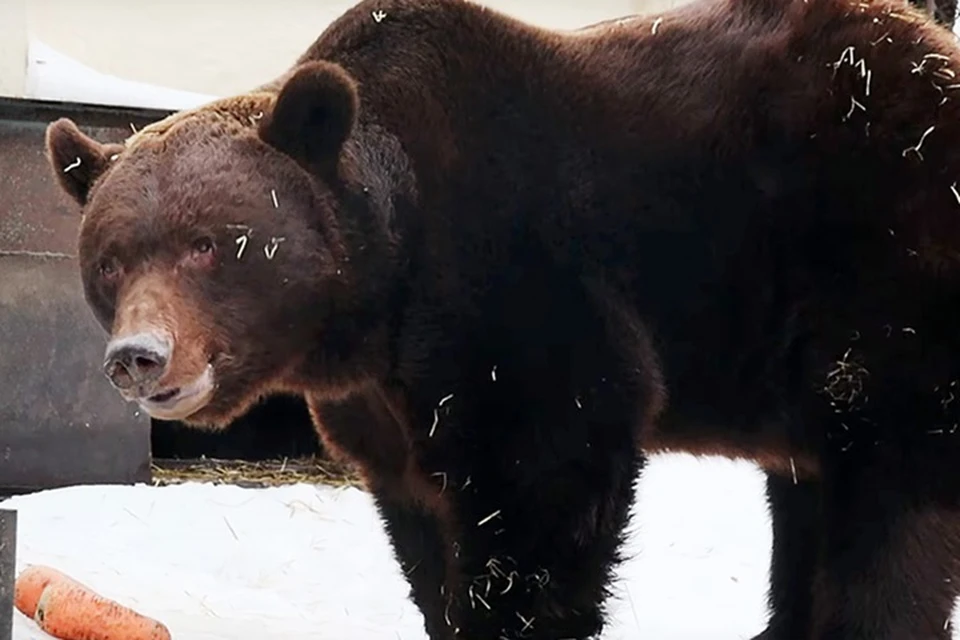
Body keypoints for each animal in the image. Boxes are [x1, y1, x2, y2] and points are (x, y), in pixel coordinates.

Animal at [41, 0, 960, 636]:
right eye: (112, 258)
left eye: (209, 243)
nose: (140, 355)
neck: (378, 296)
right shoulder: (383, 414)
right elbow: (422, 534)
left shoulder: (521, 294)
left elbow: (539, 498)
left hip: (880, 281)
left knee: (891, 511)